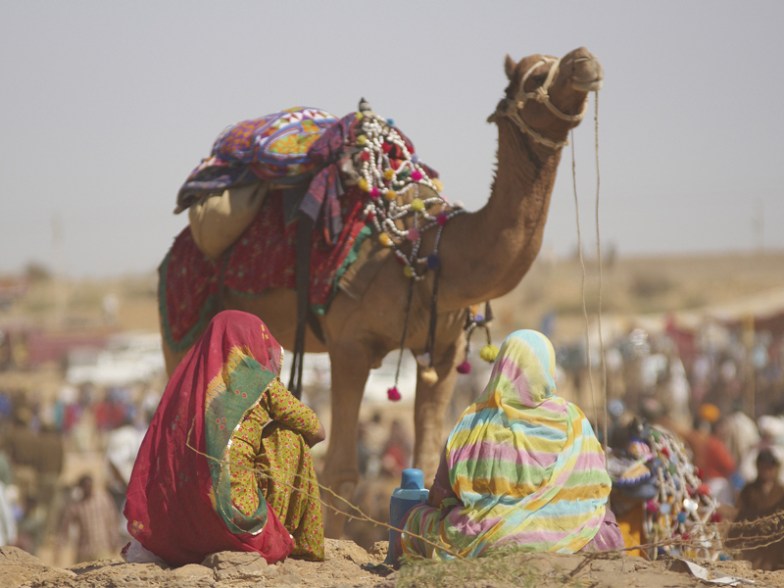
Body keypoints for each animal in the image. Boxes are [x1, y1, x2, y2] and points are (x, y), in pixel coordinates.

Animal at [158, 48, 600, 536]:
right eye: (536, 75)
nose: (586, 60)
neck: (433, 248)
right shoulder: (350, 346)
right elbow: (341, 470)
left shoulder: (444, 353)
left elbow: (429, 455)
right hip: (179, 314)